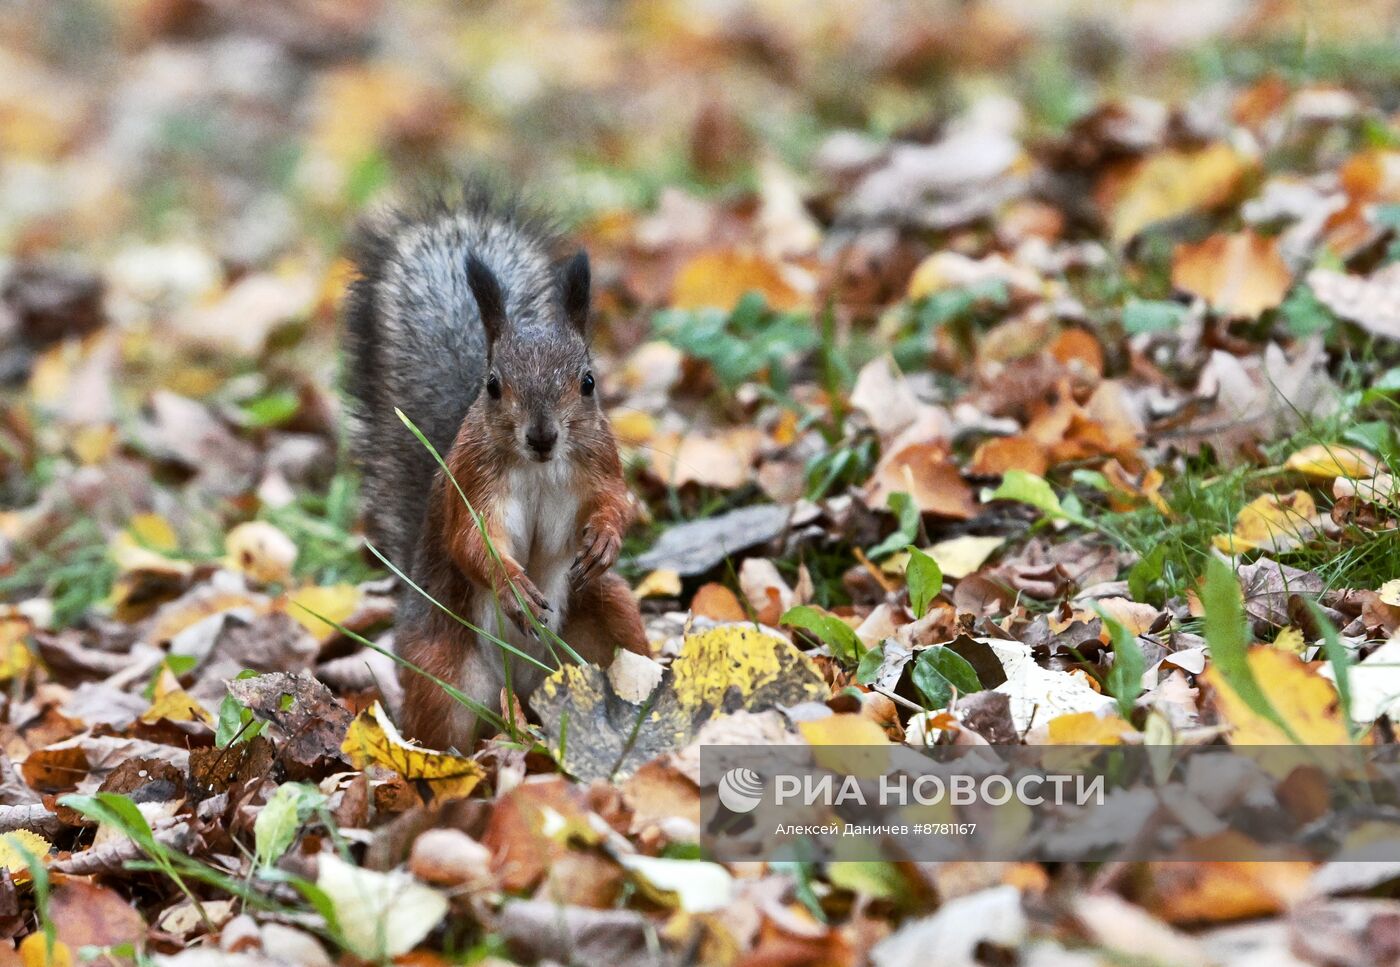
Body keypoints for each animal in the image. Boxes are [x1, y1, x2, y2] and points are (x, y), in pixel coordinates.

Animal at [341, 187, 646, 750]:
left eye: (588, 381)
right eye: (493, 385)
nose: (542, 436)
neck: (541, 468)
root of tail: (527, 686)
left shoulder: (600, 466)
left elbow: (617, 502)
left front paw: (604, 539)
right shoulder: (473, 483)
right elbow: (470, 541)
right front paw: (512, 585)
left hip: (608, 617)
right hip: (443, 674)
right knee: (446, 726)